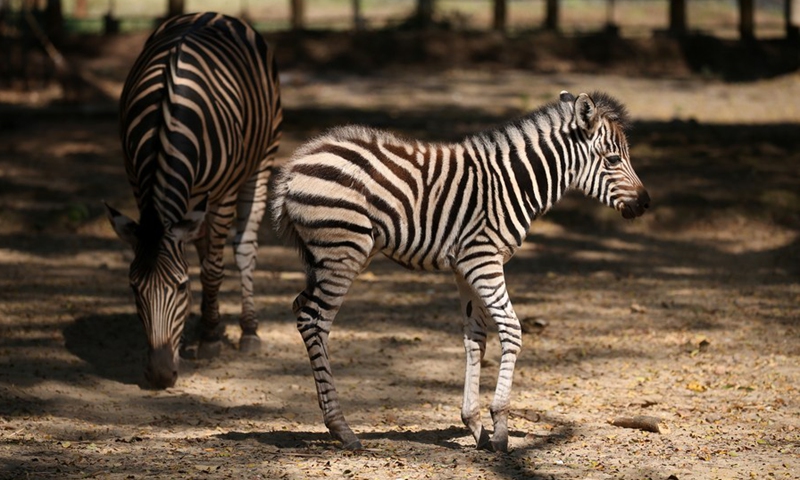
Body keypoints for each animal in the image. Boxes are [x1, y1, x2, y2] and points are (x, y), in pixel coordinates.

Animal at [104, 12, 282, 390]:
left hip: (262, 160)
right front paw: (201, 329)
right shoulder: (138, 184)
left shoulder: (224, 192)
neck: (167, 120)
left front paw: (211, 340)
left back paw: (248, 330)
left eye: (181, 287)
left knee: (243, 247)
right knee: (202, 244)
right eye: (133, 288)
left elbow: (214, 267)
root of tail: (212, 14)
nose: (159, 376)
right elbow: (199, 257)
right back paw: (207, 322)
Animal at [272, 91, 648, 454]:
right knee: (314, 320)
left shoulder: (466, 266)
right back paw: (342, 429)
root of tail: (295, 166)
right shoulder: (483, 259)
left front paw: (476, 427)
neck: (514, 184)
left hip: (325, 258)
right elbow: (511, 329)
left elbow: (475, 339)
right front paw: (500, 429)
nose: (646, 204)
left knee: (300, 308)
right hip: (343, 252)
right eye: (613, 160)